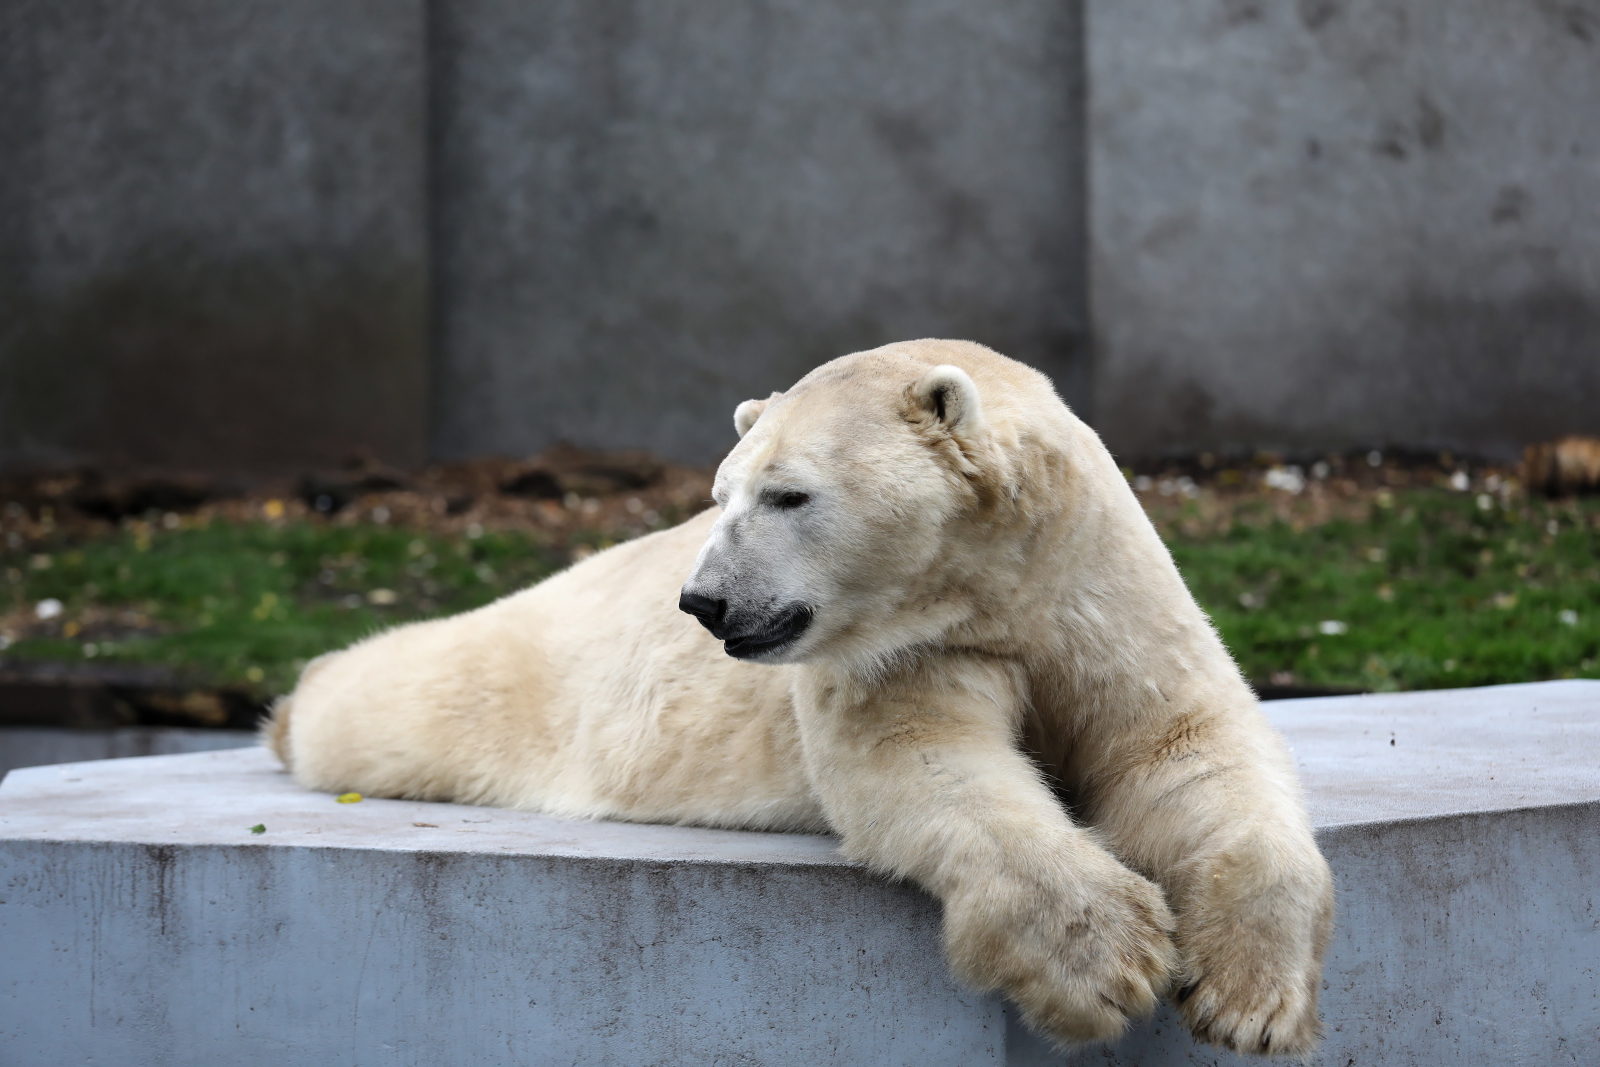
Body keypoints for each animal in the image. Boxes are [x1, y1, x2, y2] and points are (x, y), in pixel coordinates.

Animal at [265, 337, 1337, 1055]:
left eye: (787, 494)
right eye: (717, 493)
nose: (702, 600)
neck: (990, 578)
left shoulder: (1094, 587)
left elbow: (1182, 743)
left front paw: (1252, 999)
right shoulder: (902, 652)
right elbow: (925, 762)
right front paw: (1108, 962)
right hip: (522, 667)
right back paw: (293, 704)